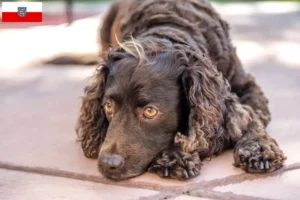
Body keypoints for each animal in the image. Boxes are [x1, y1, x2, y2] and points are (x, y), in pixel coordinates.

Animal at [49, 0, 286, 180]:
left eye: (150, 111)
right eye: (108, 106)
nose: (108, 164)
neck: (169, 27)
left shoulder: (247, 88)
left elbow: (251, 117)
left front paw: (259, 149)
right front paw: (175, 156)